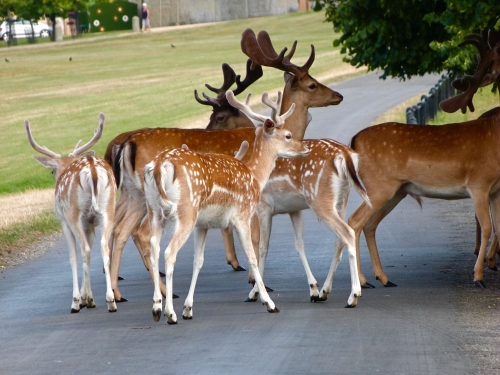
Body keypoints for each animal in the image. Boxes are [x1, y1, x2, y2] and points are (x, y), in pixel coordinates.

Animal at [25, 114, 117, 314]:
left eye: (52, 170)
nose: (54, 175)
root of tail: (92, 169)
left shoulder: (64, 221)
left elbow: (73, 257)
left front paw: (79, 300)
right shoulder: (89, 223)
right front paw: (86, 297)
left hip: (73, 212)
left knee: (84, 249)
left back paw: (84, 301)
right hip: (108, 209)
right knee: (104, 247)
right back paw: (111, 300)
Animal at [143, 90, 310, 324]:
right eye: (287, 135)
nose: (305, 147)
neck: (255, 176)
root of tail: (159, 165)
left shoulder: (203, 224)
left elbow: (198, 261)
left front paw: (188, 308)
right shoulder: (242, 214)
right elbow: (252, 256)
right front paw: (269, 303)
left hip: (155, 211)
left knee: (153, 248)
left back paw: (157, 308)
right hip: (186, 211)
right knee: (169, 252)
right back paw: (170, 313)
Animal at [342, 30, 500, 290]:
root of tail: (353, 141)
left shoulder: (496, 189)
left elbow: (498, 229)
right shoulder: (478, 183)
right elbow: (487, 228)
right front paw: (478, 277)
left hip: (396, 191)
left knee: (370, 225)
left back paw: (384, 278)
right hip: (379, 186)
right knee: (354, 222)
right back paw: (363, 282)